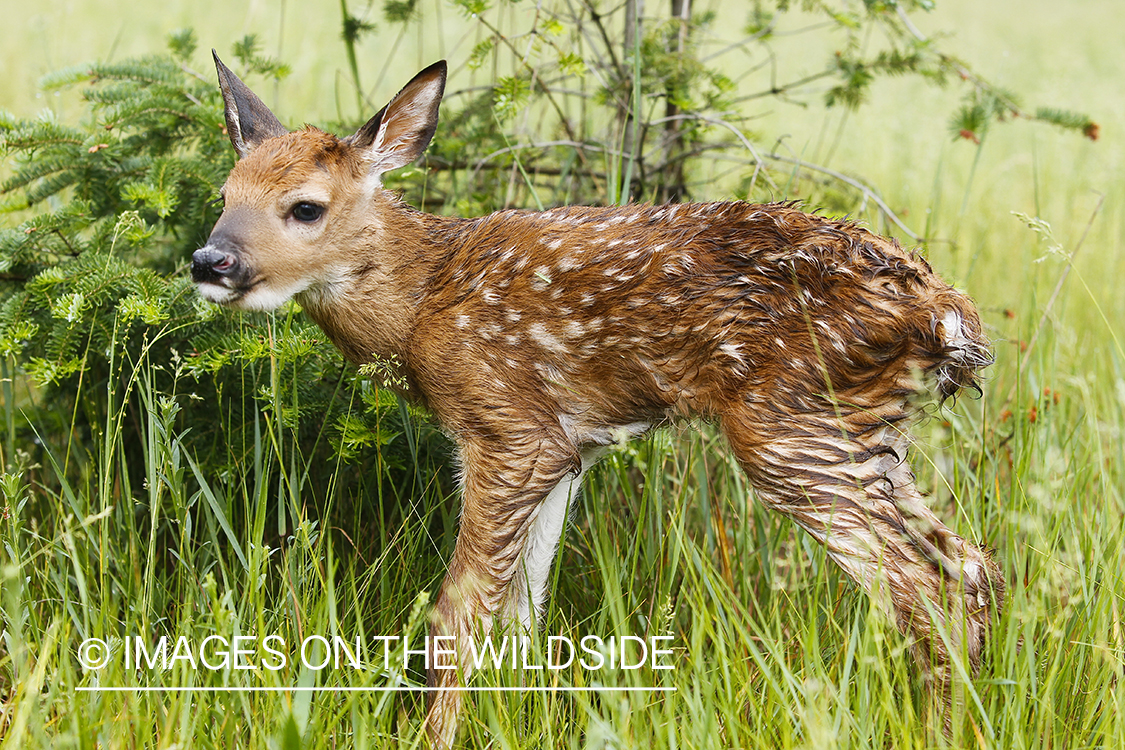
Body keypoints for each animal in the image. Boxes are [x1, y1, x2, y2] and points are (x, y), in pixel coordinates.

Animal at [193, 53, 1004, 746]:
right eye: (225, 197)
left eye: (305, 208)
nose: (209, 260)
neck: (421, 304)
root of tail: (944, 312)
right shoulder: (568, 448)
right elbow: (523, 616)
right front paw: (518, 724)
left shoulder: (507, 427)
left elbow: (458, 613)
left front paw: (435, 737)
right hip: (869, 434)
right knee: (972, 566)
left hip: (789, 428)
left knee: (920, 589)